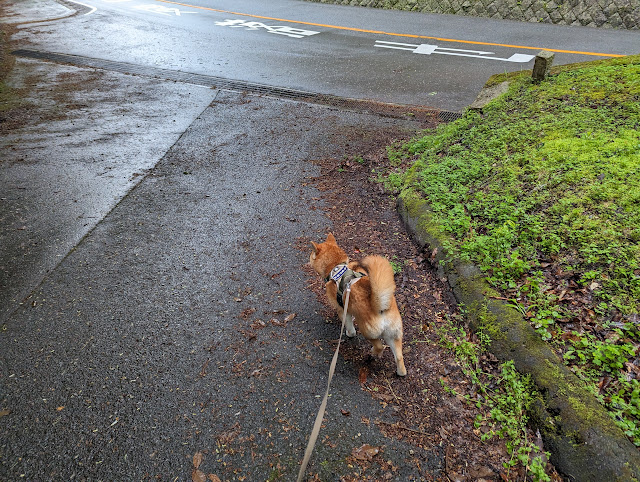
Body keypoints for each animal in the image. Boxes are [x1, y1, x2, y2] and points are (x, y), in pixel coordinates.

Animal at [308, 233, 408, 376]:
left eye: (311, 253)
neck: (336, 267)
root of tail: (381, 308)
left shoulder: (342, 310)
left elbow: (350, 327)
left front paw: (349, 334)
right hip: (394, 335)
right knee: (399, 357)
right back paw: (400, 372)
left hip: (368, 332)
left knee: (379, 346)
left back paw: (373, 353)